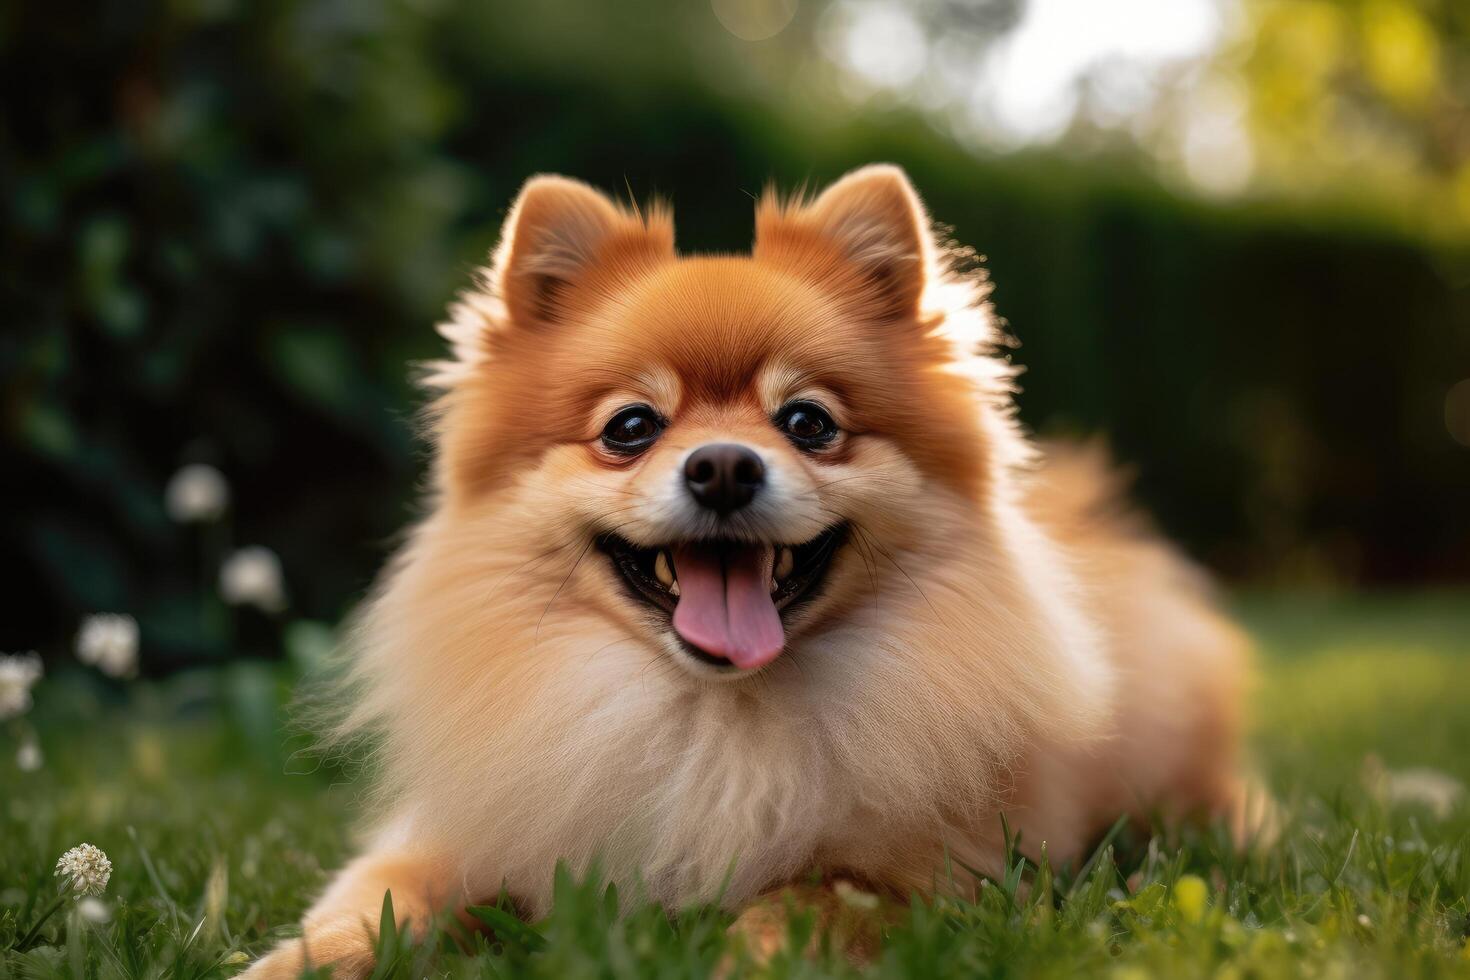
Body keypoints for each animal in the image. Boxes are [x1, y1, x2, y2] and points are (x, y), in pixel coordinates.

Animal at [246, 164, 1246, 975]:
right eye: (631, 427)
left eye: (807, 422)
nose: (724, 465)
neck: (708, 720)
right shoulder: (460, 832)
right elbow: (382, 902)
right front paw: (303, 961)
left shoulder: (940, 874)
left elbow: (813, 899)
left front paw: (750, 955)